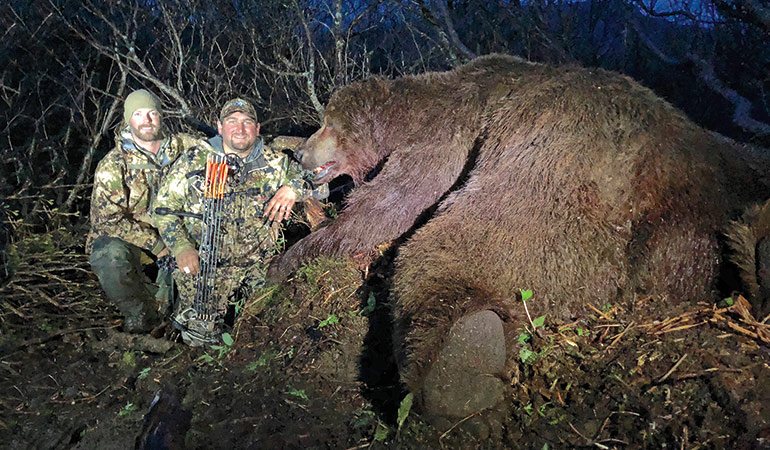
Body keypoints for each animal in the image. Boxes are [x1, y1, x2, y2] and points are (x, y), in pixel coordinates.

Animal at [268, 54, 764, 420]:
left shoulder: (450, 135)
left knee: (486, 237)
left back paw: (457, 358)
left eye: (328, 123)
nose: (299, 150)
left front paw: (288, 258)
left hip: (561, 162)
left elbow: (391, 204)